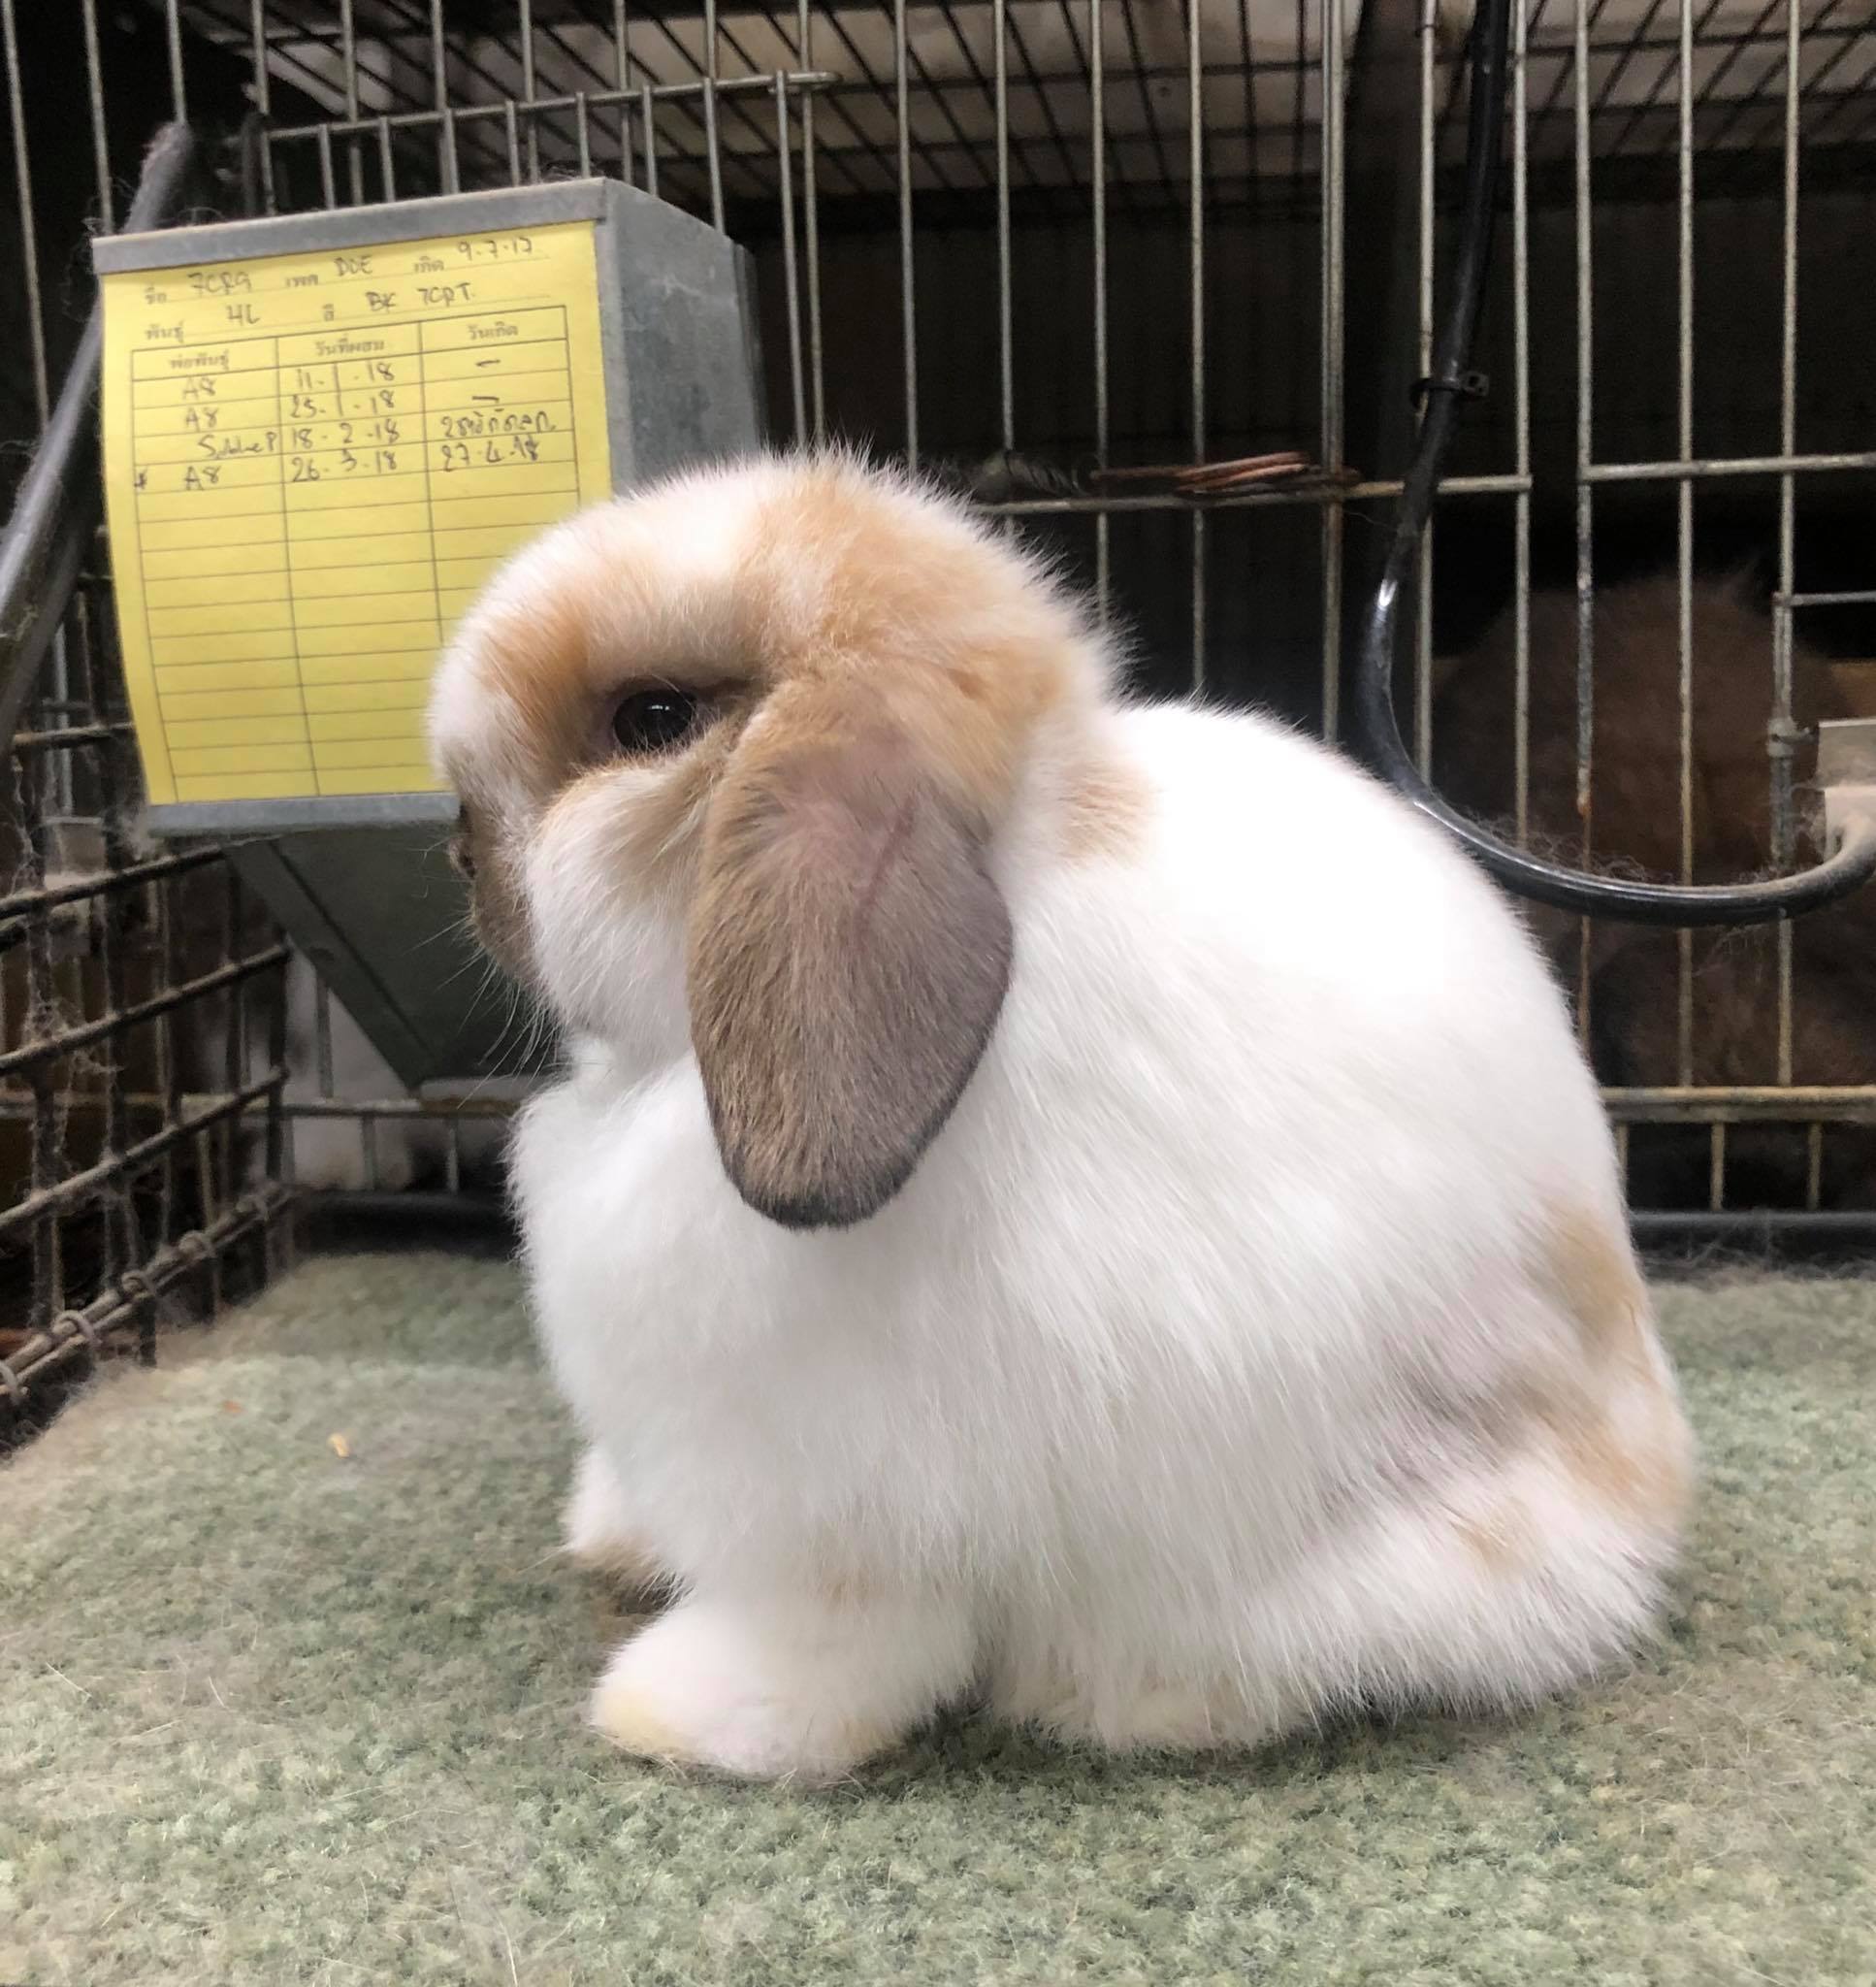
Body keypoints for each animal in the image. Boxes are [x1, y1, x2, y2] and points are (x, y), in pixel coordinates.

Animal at [426, 450, 1692, 1784]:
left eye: (653, 721)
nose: (458, 848)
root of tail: (1639, 1516)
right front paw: (610, 1537)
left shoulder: (829, 1516)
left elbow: (828, 1643)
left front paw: (675, 1713)